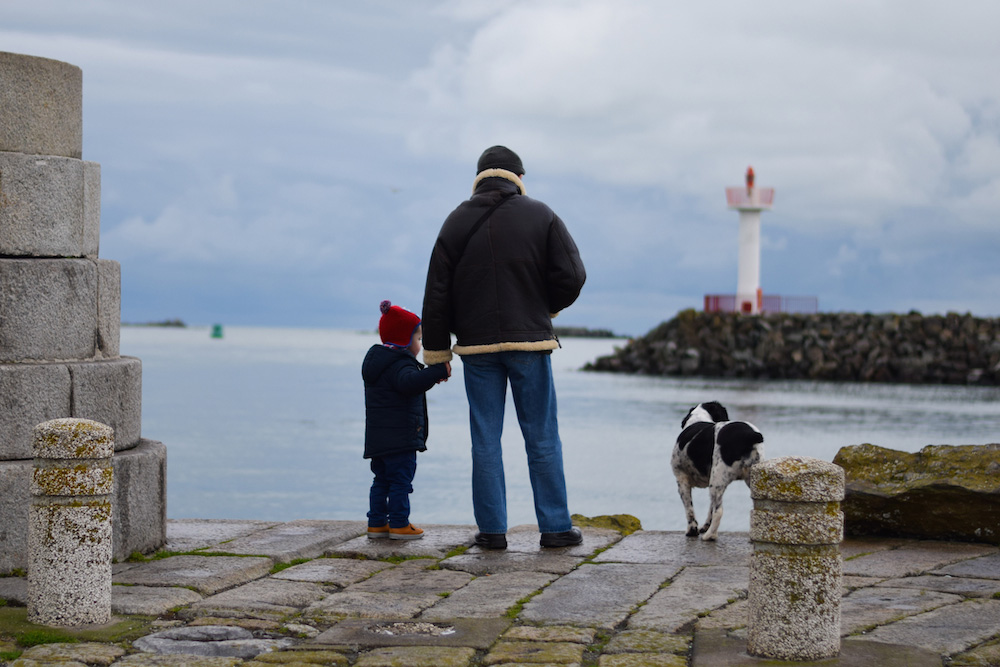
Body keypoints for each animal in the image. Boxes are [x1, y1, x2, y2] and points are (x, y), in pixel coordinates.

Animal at [672, 404, 764, 540]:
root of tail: (750, 436)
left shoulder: (682, 480)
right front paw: (705, 526)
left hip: (717, 480)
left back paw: (709, 536)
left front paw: (692, 531)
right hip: (751, 480)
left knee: (719, 511)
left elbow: (689, 509)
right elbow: (710, 508)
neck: (698, 418)